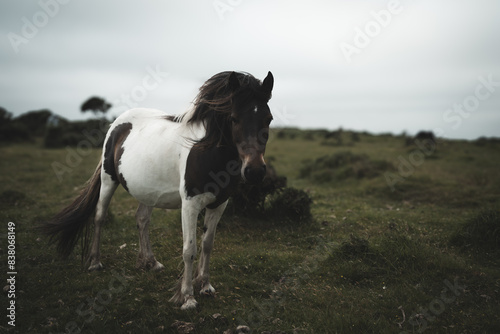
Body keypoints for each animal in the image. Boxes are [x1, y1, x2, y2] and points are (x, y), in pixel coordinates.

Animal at [43, 71, 276, 310]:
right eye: (234, 118)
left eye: (268, 119)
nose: (255, 171)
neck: (207, 150)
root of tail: (118, 123)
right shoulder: (190, 204)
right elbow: (189, 250)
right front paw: (188, 297)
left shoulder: (220, 203)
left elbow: (207, 244)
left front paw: (205, 286)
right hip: (108, 180)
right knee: (99, 217)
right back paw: (95, 262)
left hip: (147, 191)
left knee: (142, 219)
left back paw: (150, 262)